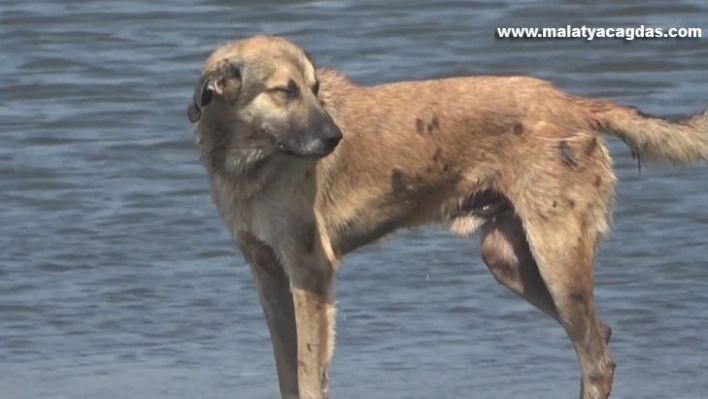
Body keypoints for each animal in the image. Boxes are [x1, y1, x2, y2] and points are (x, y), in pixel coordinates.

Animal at [187, 35, 708, 399]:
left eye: (315, 91)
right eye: (284, 92)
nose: (335, 138)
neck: (250, 159)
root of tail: (574, 104)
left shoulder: (310, 271)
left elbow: (309, 371)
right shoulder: (269, 275)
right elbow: (287, 369)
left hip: (558, 259)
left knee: (597, 360)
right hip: (510, 261)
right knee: (599, 341)